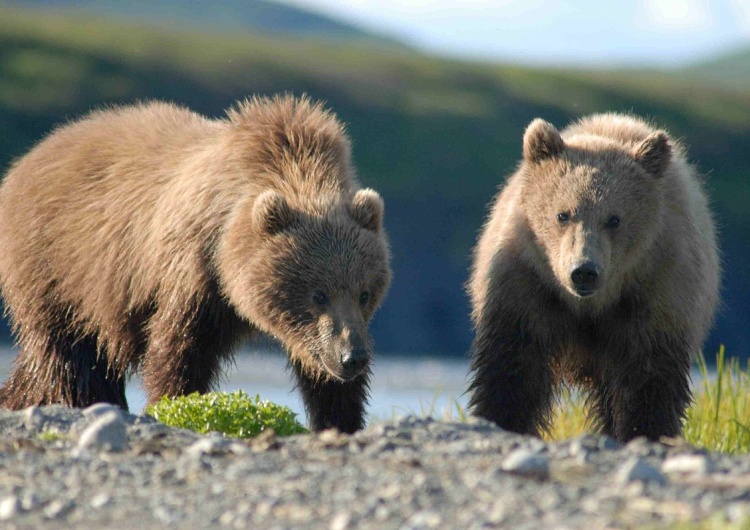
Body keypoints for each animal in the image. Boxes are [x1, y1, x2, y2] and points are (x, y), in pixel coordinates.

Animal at [0, 95, 390, 432]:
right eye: (318, 294)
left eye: (365, 293)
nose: (352, 357)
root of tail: (23, 162)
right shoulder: (193, 273)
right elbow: (180, 350)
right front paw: (172, 404)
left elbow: (325, 379)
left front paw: (341, 419)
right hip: (57, 267)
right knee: (69, 355)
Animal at [470, 112, 724, 442]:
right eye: (563, 214)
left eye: (614, 219)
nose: (584, 271)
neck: (589, 306)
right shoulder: (525, 287)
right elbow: (513, 369)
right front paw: (502, 420)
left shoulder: (657, 294)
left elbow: (648, 382)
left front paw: (644, 431)